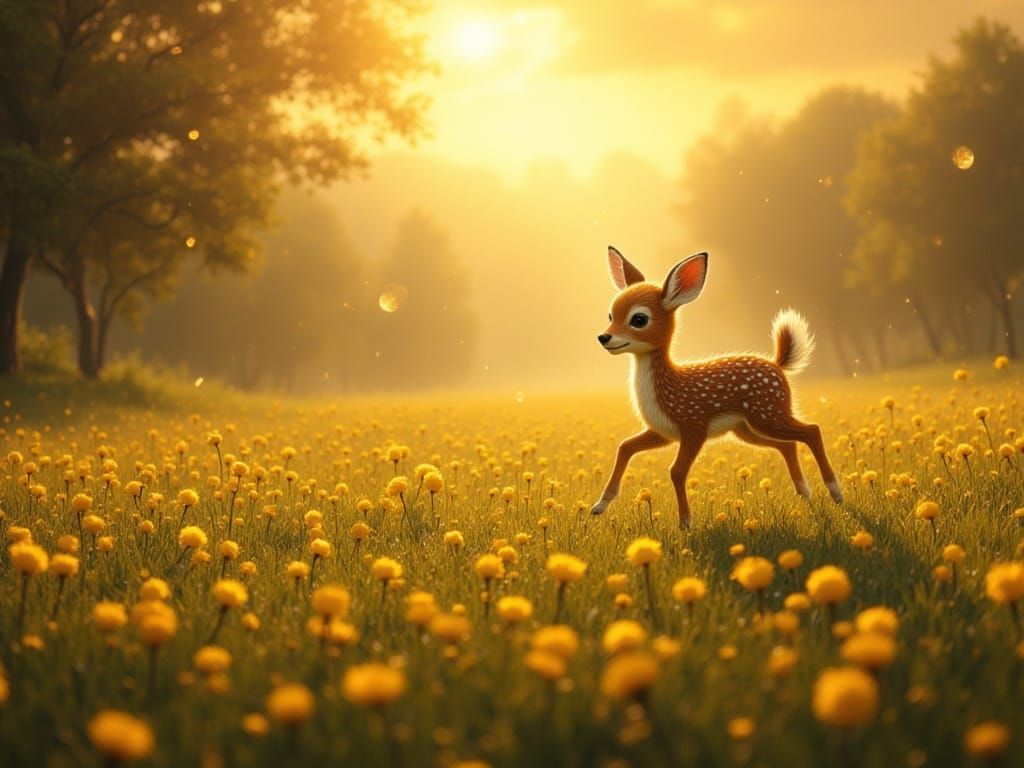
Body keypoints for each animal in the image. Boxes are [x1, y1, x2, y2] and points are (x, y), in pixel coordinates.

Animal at [591, 246, 843, 529]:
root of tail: (778, 364)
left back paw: (835, 492)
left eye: (639, 319)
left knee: (812, 430)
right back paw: (805, 492)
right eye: (611, 315)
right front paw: (599, 506)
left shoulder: (694, 425)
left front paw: (685, 523)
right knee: (788, 445)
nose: (604, 337)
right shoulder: (662, 432)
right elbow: (625, 447)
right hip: (747, 428)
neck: (667, 387)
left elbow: (676, 471)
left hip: (768, 413)